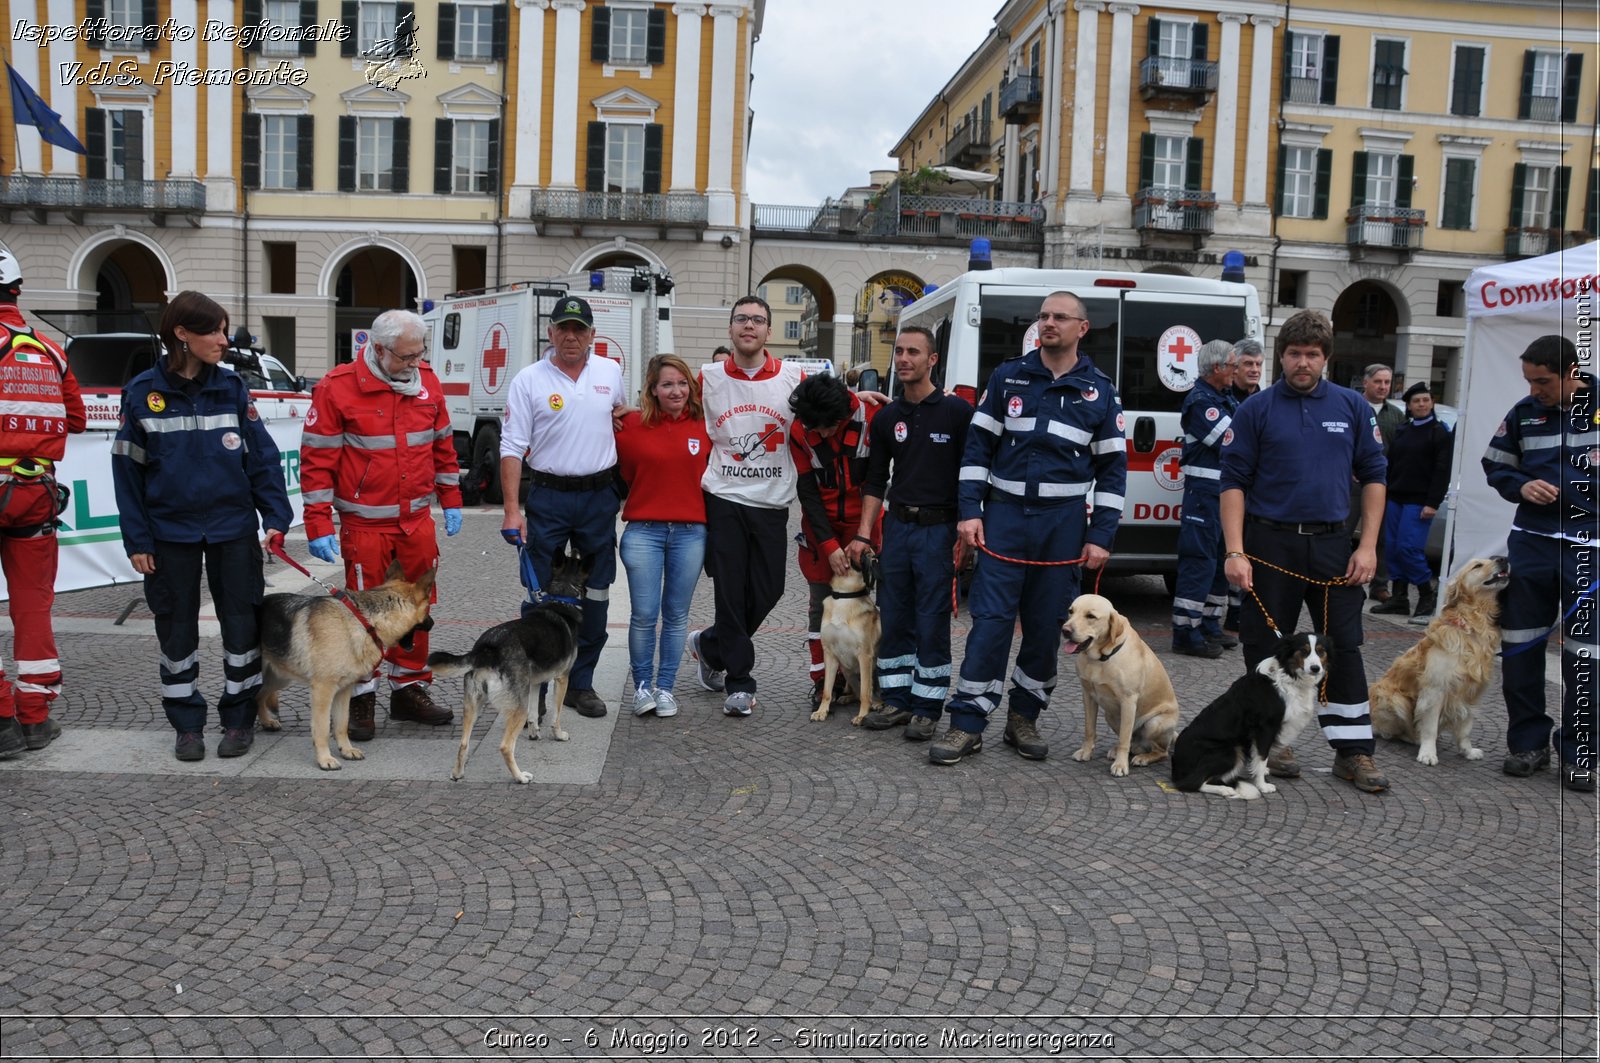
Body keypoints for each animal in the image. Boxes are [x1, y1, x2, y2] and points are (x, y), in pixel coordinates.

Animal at [259, 560, 441, 768]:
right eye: (427, 610)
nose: (433, 623)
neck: (365, 622)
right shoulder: (323, 690)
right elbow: (322, 728)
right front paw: (325, 759)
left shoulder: (344, 690)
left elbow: (342, 724)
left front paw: (346, 750)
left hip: (279, 678)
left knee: (258, 696)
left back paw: (266, 722)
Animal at [425, 547, 595, 781]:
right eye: (577, 557)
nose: (577, 548)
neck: (562, 598)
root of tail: (487, 648)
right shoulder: (562, 678)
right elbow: (556, 715)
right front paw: (558, 735)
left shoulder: (534, 683)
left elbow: (534, 714)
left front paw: (534, 733)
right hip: (515, 706)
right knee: (505, 746)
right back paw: (520, 777)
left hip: (473, 703)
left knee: (463, 743)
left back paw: (458, 773)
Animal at [819, 560, 883, 726]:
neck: (844, 596)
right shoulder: (829, 653)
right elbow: (827, 691)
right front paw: (821, 711)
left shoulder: (865, 655)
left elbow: (866, 692)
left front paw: (862, 716)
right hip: (847, 671)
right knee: (857, 693)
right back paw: (847, 698)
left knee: (874, 694)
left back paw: (878, 704)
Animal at [1068, 589, 1184, 771]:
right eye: (1070, 611)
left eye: (1090, 616)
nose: (1065, 630)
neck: (1101, 658)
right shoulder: (1088, 695)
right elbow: (1089, 730)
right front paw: (1086, 752)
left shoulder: (1128, 701)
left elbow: (1124, 738)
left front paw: (1120, 765)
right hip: (1111, 715)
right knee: (1133, 743)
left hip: (1155, 723)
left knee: (1160, 751)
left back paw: (1143, 758)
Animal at [1369, 557, 1504, 765]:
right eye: (1477, 566)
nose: (1503, 558)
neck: (1472, 626)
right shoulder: (1435, 690)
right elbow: (1430, 727)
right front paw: (1428, 753)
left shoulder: (1471, 693)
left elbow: (1466, 728)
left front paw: (1467, 751)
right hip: (1394, 698)